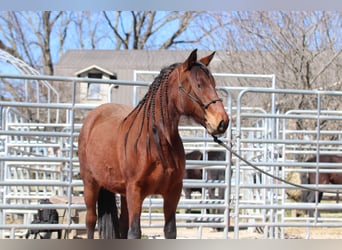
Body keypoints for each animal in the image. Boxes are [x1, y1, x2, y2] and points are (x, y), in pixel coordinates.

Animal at [77, 49, 230, 239]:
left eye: (213, 84)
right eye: (199, 84)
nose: (222, 122)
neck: (158, 144)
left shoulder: (173, 192)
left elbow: (170, 231)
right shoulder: (135, 192)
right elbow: (135, 232)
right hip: (90, 184)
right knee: (91, 220)